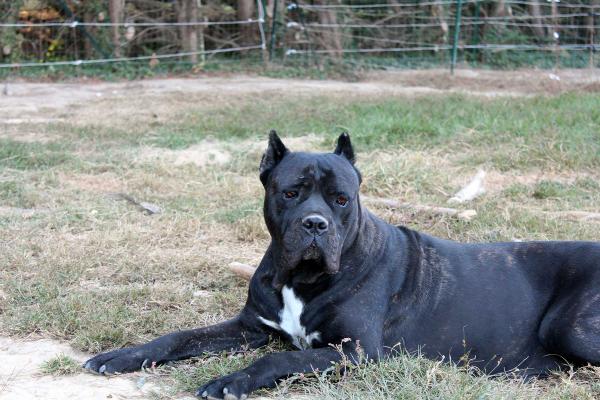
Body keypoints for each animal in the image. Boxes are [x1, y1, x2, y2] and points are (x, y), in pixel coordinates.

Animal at [84, 131, 600, 396]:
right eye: (290, 192)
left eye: (341, 199)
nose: (315, 224)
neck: (301, 276)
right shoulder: (250, 327)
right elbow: (178, 336)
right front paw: (121, 355)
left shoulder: (355, 351)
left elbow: (279, 358)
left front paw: (231, 380)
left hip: (568, 327)